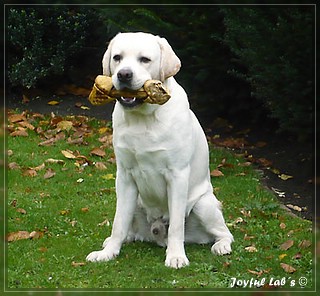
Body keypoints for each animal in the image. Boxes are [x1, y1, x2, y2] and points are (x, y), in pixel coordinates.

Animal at [86, 32, 234, 268]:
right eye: (117, 57)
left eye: (145, 59)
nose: (124, 74)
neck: (144, 118)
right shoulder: (125, 177)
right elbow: (118, 223)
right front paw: (108, 253)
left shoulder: (177, 175)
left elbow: (176, 226)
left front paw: (176, 256)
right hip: (135, 202)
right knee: (128, 228)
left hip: (203, 204)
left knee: (224, 233)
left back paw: (221, 246)